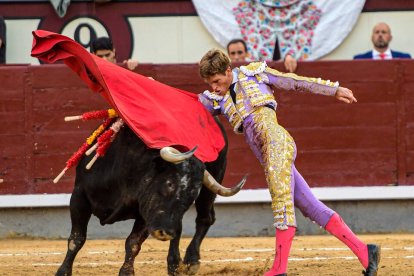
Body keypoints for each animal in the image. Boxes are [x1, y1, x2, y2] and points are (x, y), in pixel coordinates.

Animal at [55, 119, 246, 276]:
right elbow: (76, 239)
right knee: (181, 226)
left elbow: (133, 244)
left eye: (192, 195)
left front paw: (126, 273)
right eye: (170, 183)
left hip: (210, 188)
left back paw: (190, 262)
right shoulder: (79, 197)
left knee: (204, 218)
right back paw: (174, 264)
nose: (164, 233)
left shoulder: (146, 213)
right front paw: (63, 272)